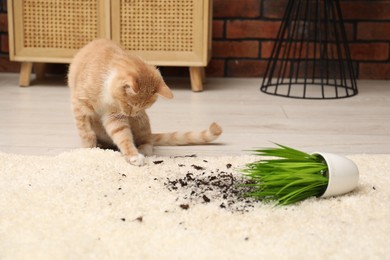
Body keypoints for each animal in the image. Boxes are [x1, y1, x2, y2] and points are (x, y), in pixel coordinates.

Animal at [65, 38, 221, 167]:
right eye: (130, 105)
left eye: (142, 107)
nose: (131, 115)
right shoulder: (80, 106)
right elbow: (86, 133)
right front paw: (89, 150)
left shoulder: (114, 116)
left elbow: (123, 136)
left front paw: (133, 155)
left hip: (142, 122)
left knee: (148, 141)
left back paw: (143, 149)